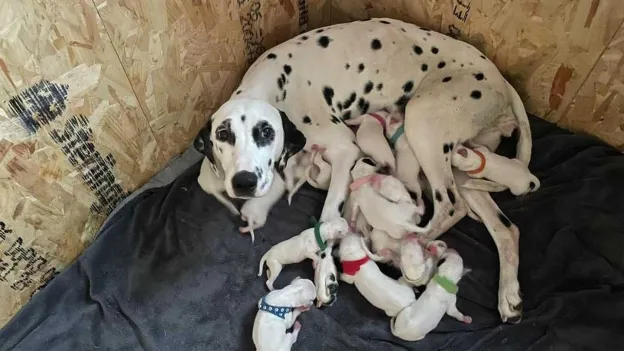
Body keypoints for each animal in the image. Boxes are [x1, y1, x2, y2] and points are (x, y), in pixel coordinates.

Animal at [194, 17, 532, 324]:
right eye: (222, 135)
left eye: (266, 132)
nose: (244, 182)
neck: (275, 88)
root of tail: (499, 77)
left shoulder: (346, 151)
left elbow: (328, 216)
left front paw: (325, 275)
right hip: (461, 162)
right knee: (504, 228)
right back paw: (509, 294)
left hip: (423, 122)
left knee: (450, 206)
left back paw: (404, 254)